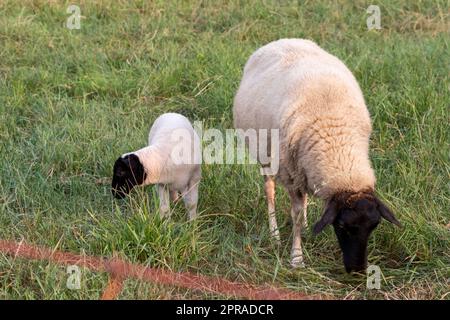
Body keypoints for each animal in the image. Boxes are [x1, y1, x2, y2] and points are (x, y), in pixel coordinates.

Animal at [232, 38, 400, 272]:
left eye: (374, 226)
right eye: (342, 226)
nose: (357, 269)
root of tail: (282, 40)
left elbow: (300, 208)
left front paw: (302, 232)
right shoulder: (290, 173)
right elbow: (293, 213)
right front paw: (296, 258)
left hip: (302, 165)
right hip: (266, 155)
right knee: (270, 190)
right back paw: (274, 234)